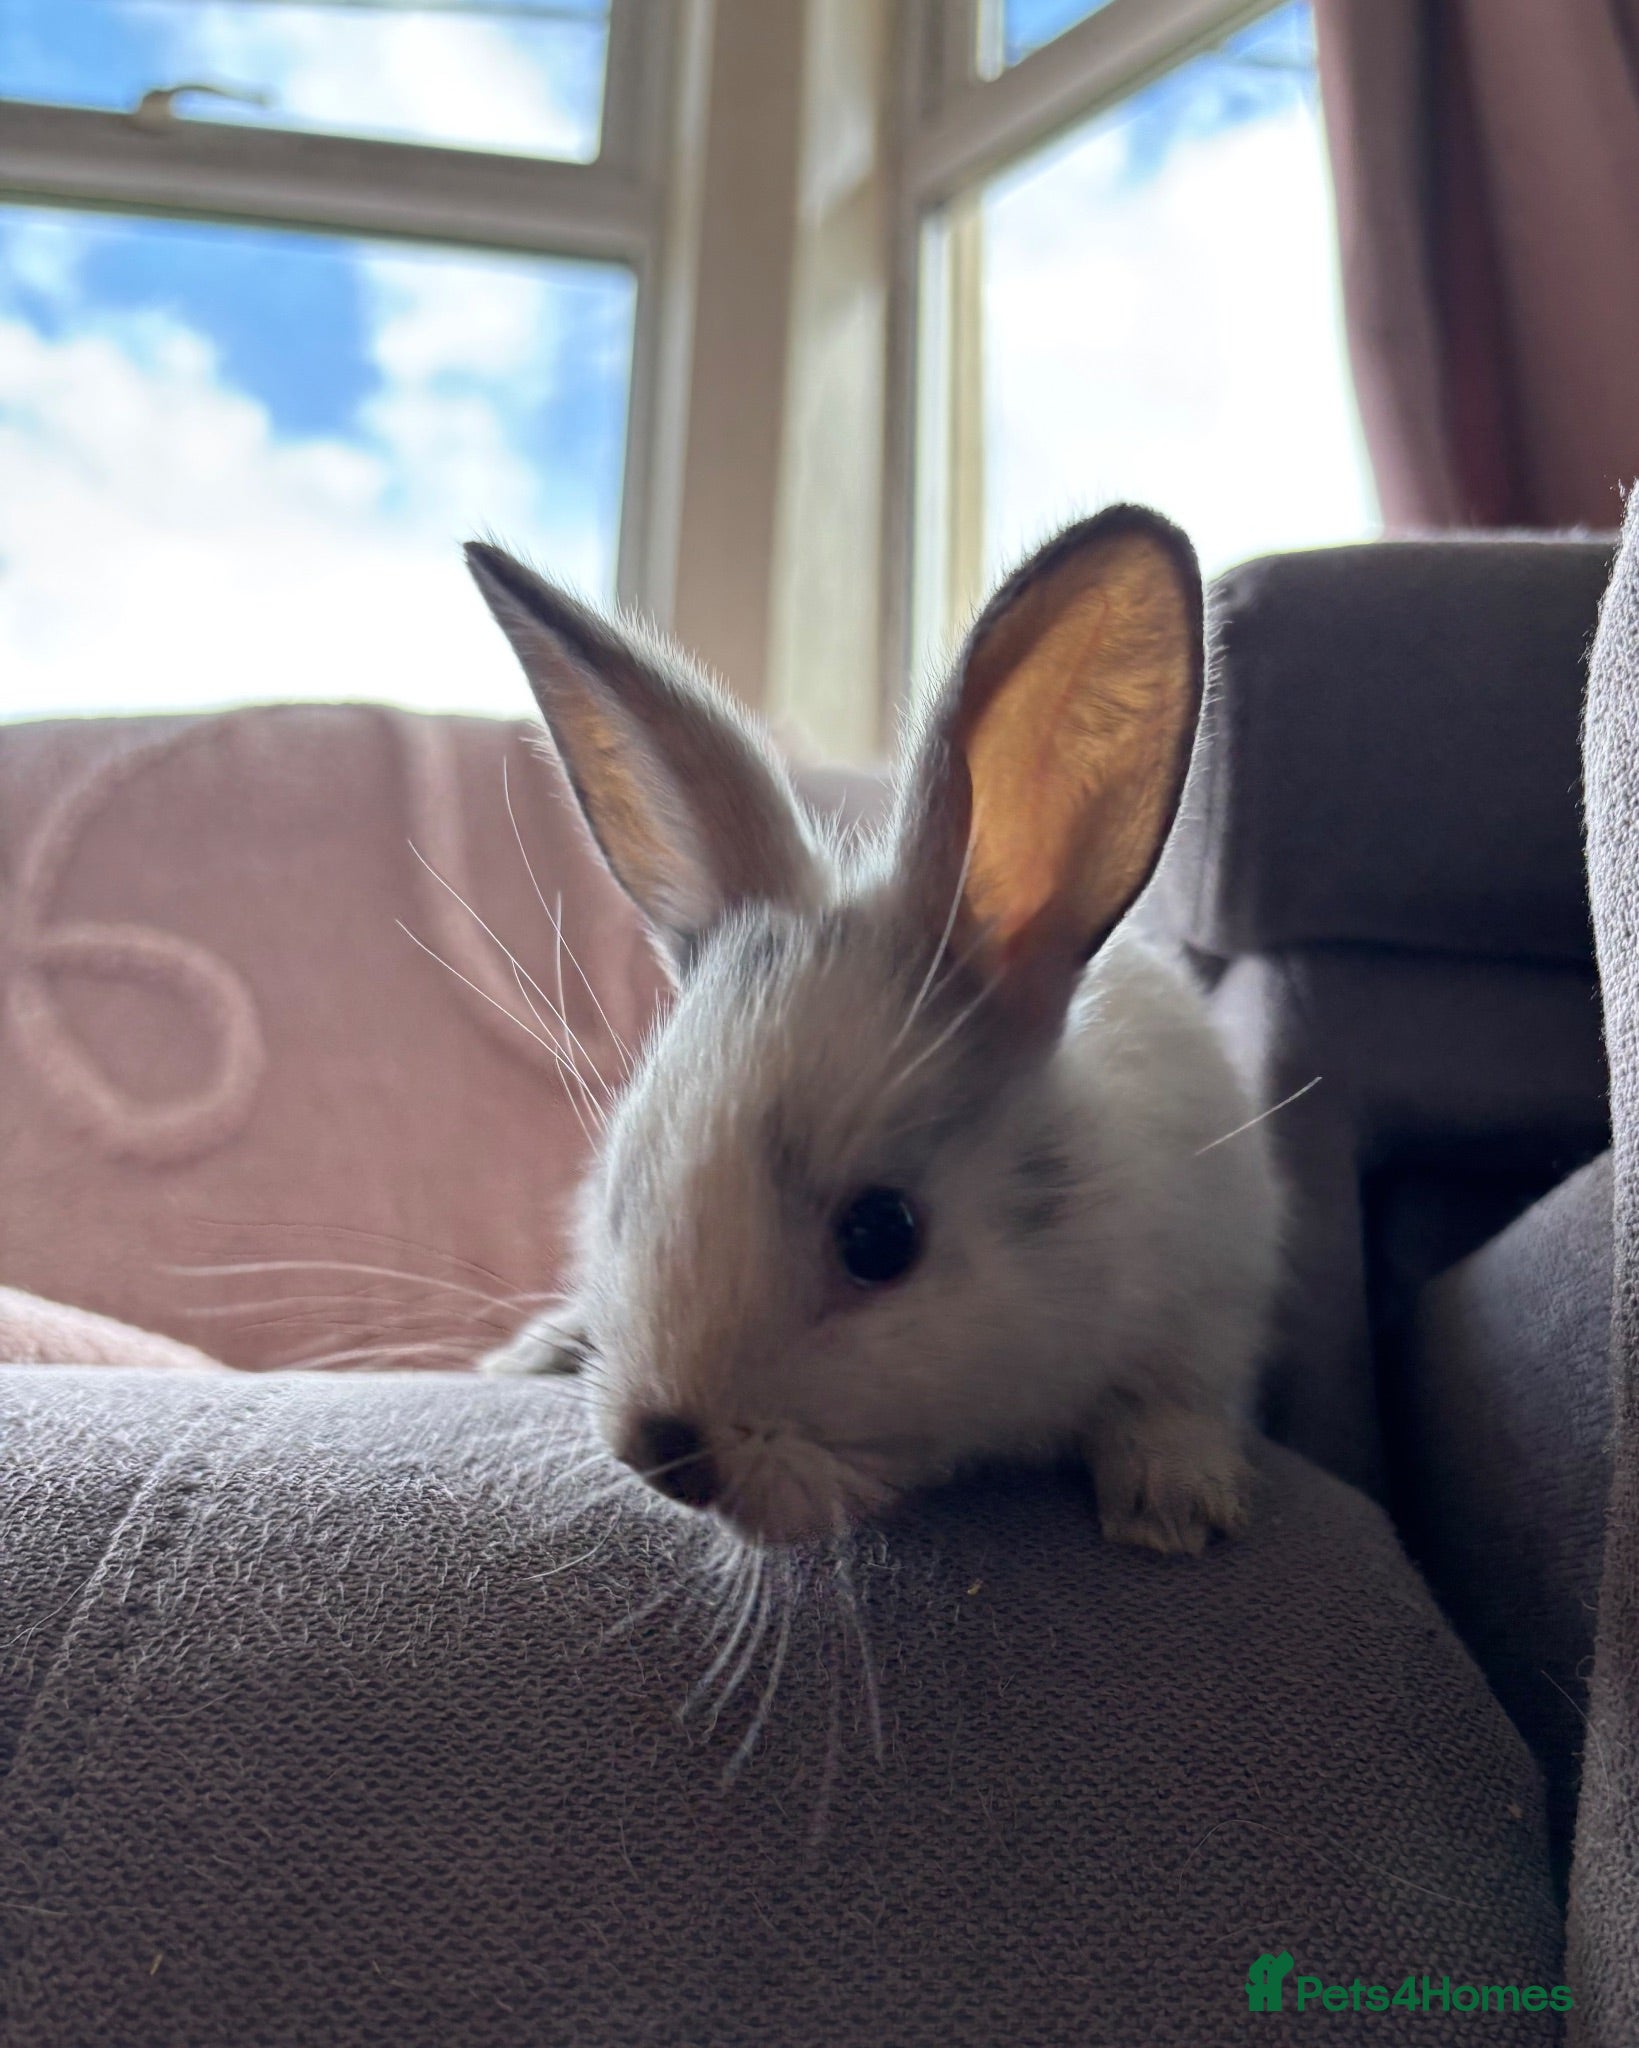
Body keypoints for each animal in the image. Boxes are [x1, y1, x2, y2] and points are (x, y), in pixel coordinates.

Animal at [466, 504, 1283, 1556]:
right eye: (624, 1186)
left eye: (881, 1238)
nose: (662, 1452)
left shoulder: (1214, 1297)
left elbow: (1177, 1399)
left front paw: (1171, 1506)